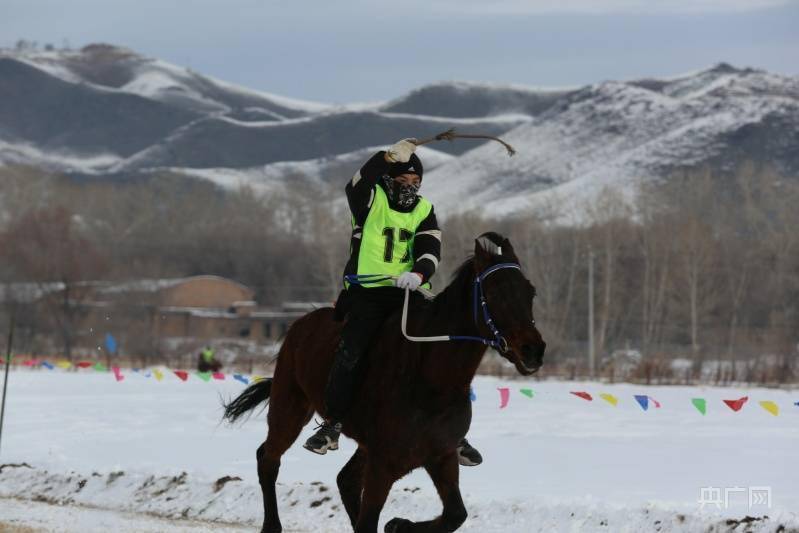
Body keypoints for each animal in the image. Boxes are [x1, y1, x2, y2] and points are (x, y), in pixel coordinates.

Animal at [225, 232, 552, 532]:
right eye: (495, 293)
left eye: (530, 292)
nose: (533, 350)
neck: (432, 378)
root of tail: (300, 323)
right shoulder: (384, 463)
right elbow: (371, 519)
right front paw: (396, 523)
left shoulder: (440, 455)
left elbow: (455, 514)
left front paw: (399, 524)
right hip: (289, 408)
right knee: (268, 459)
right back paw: (272, 523)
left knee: (344, 480)